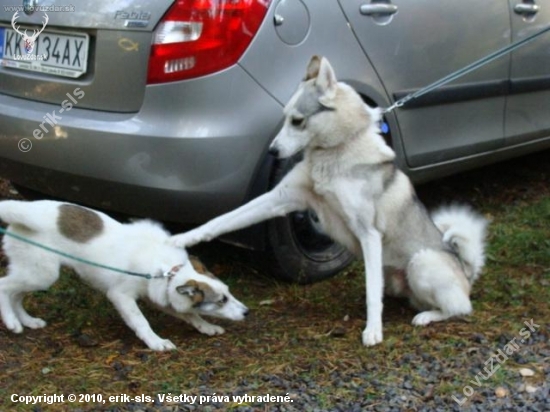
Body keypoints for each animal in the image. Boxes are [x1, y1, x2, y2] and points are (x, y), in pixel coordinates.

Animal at [0, 200, 248, 350]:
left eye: (229, 293)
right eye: (221, 301)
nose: (247, 312)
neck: (166, 270)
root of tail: (23, 210)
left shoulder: (160, 296)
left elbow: (191, 315)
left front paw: (206, 327)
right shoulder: (121, 296)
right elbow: (141, 321)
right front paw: (155, 342)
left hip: (34, 273)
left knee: (16, 295)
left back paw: (27, 321)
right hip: (42, 273)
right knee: (4, 286)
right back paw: (11, 321)